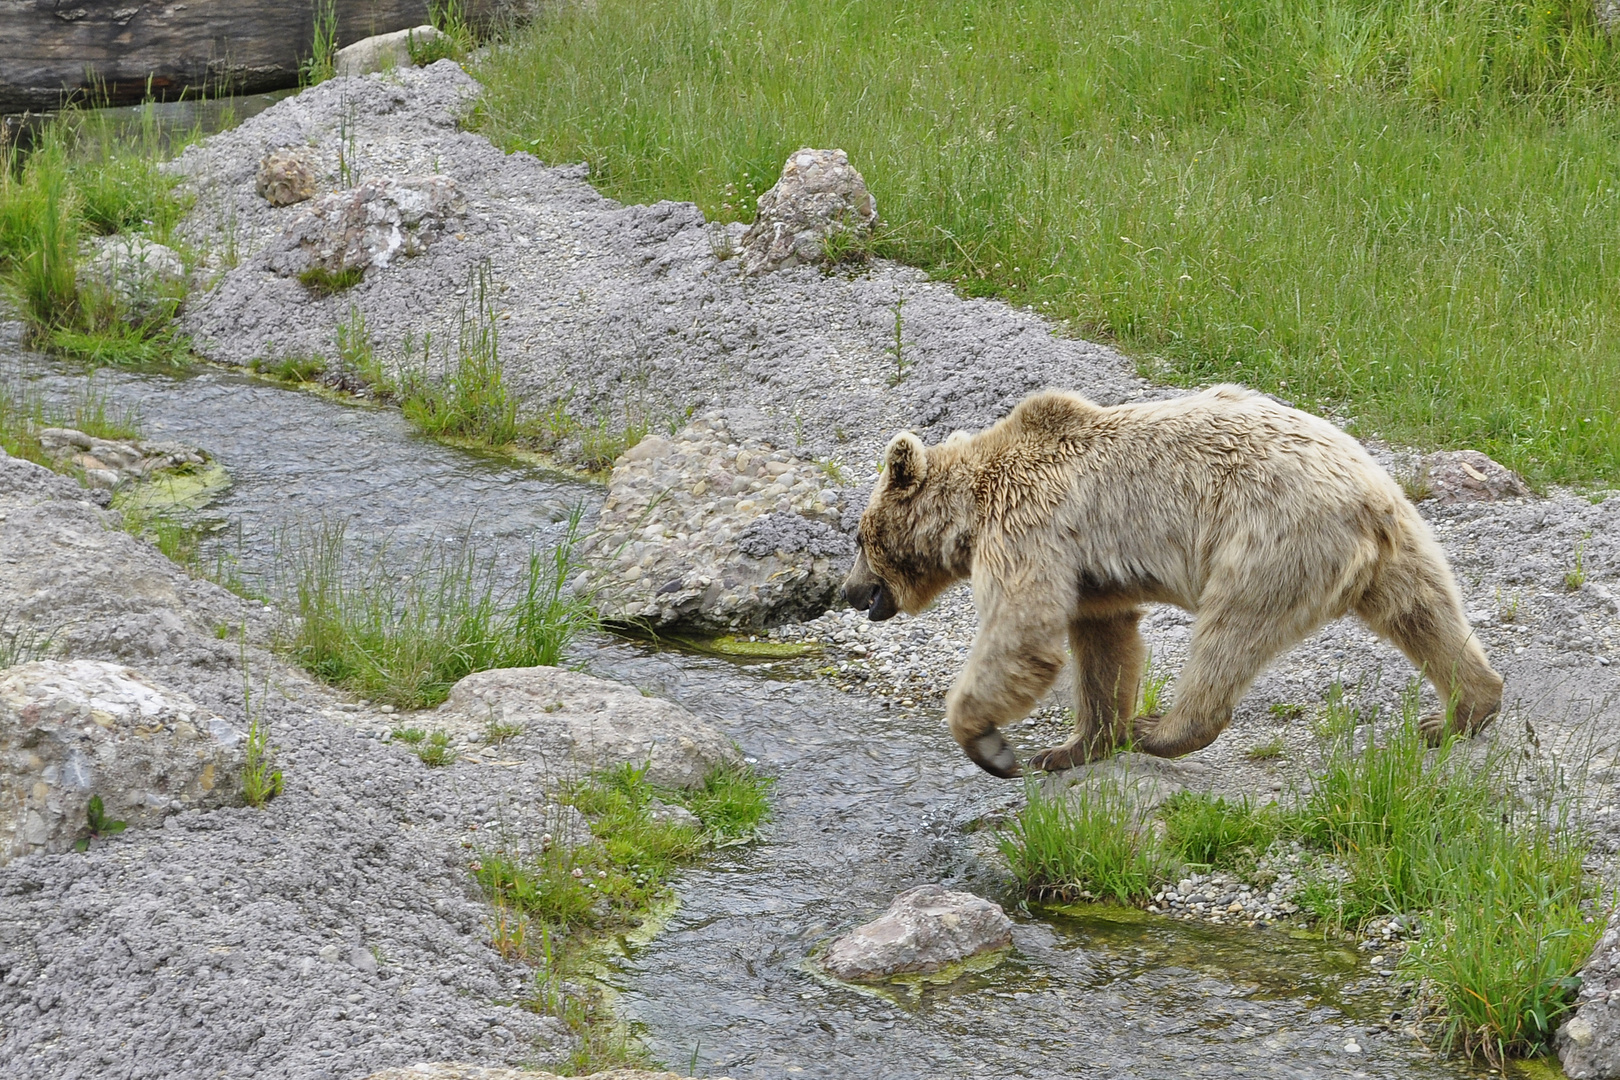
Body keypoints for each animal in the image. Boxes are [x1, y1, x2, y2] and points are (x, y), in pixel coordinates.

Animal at [848, 386, 1503, 777]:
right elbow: (1104, 644)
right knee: (1425, 611)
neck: (971, 515)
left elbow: (1022, 630)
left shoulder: (1029, 527)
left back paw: (1162, 730)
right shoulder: (1090, 577)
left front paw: (994, 746)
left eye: (857, 537)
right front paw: (1071, 746)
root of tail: (1367, 498)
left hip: (1266, 540)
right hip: (1399, 542)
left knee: (1229, 633)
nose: (850, 593)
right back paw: (1459, 710)